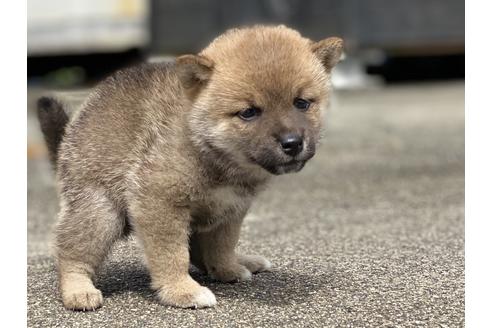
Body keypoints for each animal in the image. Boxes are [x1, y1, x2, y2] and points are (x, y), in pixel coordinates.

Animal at [37, 25, 342, 310]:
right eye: (249, 112)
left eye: (301, 103)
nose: (292, 143)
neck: (213, 153)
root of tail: (72, 130)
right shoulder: (159, 203)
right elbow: (172, 254)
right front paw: (181, 290)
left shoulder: (231, 209)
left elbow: (222, 245)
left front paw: (227, 269)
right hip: (99, 212)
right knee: (72, 253)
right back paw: (78, 289)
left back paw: (243, 262)